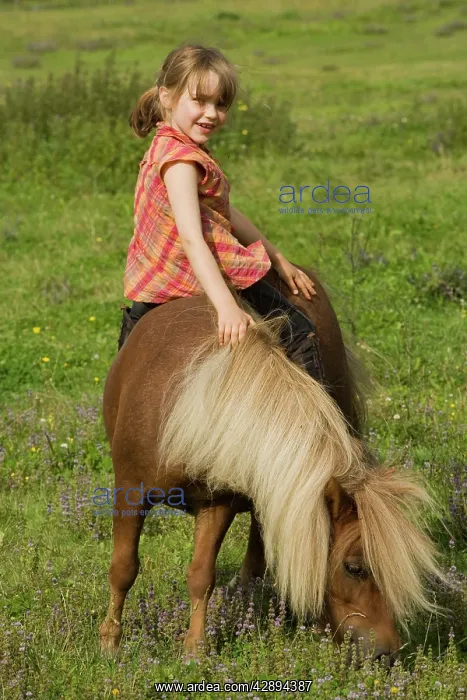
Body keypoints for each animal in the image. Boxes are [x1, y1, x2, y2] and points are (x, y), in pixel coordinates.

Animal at [99, 264, 448, 667]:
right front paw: (110, 642)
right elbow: (123, 568)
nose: (386, 654)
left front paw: (195, 650)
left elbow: (202, 574)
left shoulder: (217, 500)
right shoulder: (130, 490)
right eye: (355, 568)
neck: (191, 404)